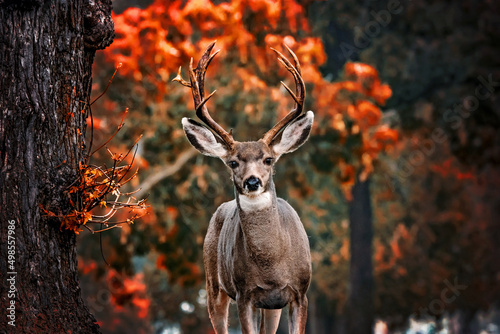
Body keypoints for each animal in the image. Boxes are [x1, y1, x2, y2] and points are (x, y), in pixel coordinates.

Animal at [173, 42, 312, 334]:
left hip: (271, 306)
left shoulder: (300, 292)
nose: (252, 181)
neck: (271, 268)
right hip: (213, 284)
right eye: (233, 162)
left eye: (268, 159)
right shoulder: (244, 293)